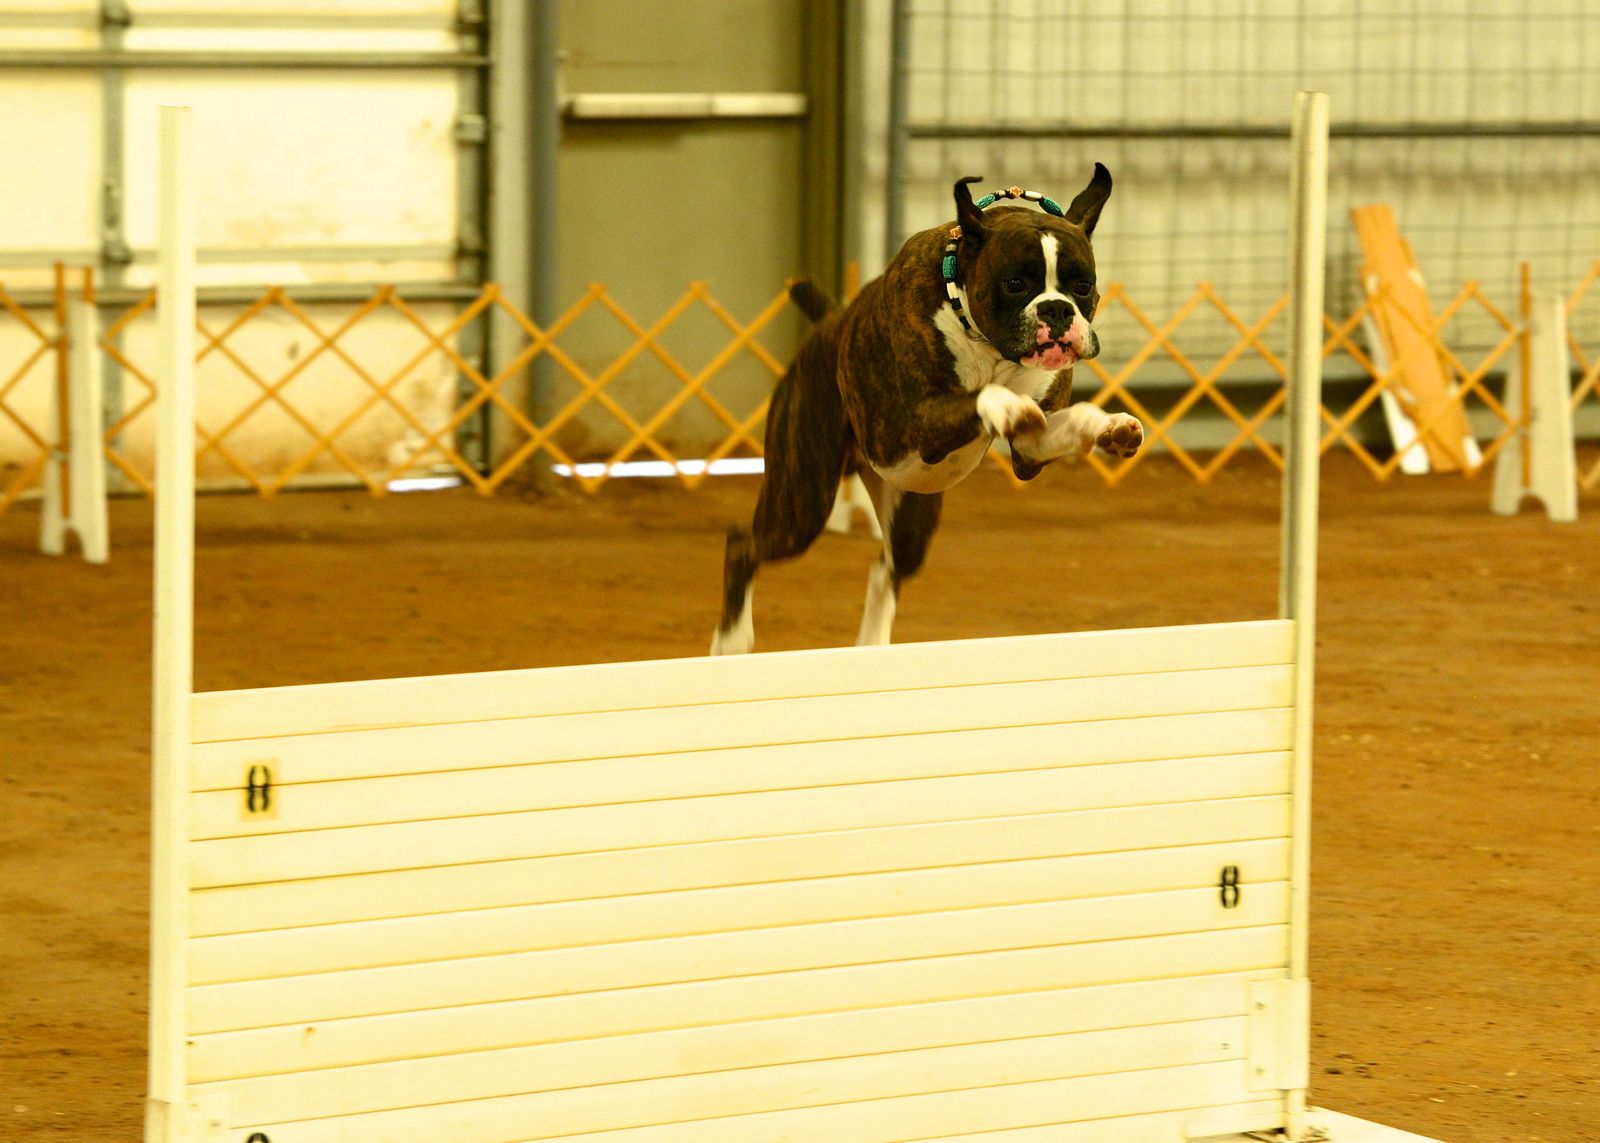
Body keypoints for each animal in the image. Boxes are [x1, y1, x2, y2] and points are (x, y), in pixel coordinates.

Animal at [712, 167, 1144, 655]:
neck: (988, 343)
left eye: (1082, 286)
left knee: (885, 570)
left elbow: (1067, 419)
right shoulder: (923, 421)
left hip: (909, 521)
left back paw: (872, 646)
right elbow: (983, 396)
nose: (1055, 309)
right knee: (743, 546)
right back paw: (731, 641)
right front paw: (1008, 405)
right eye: (1015, 284)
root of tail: (829, 325)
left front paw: (1111, 426)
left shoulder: (1030, 452)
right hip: (801, 504)